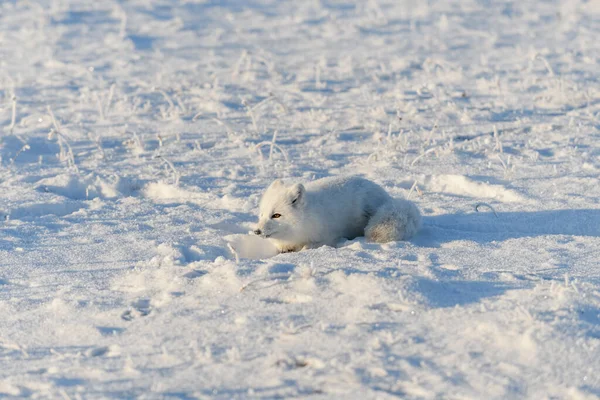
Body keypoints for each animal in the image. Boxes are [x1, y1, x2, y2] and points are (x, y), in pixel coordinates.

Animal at [254, 177, 422, 252]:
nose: (256, 231)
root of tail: (386, 197)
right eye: (261, 214)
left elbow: (309, 246)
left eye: (276, 215)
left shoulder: (328, 238)